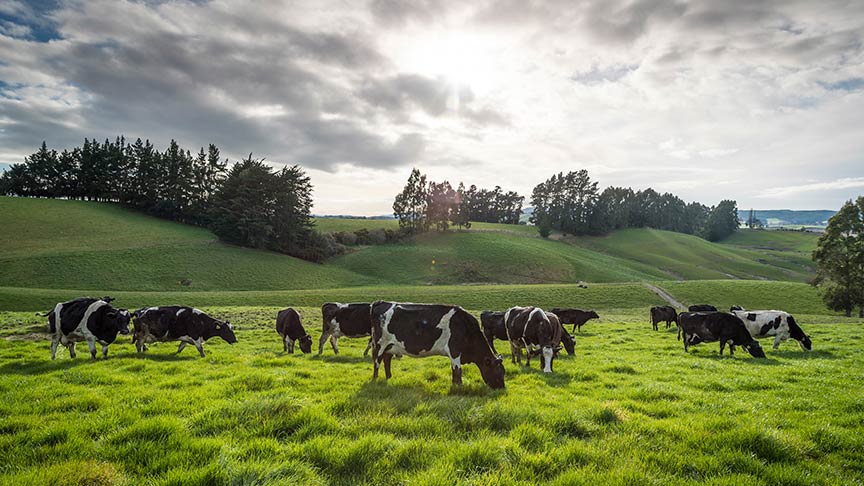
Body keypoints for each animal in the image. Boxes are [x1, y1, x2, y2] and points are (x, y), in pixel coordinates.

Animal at [368, 302, 502, 390]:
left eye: (503, 372)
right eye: (498, 372)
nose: (502, 388)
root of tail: (381, 302)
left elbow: (454, 370)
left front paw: (455, 385)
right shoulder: (454, 350)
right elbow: (457, 370)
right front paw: (459, 386)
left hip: (390, 347)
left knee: (387, 360)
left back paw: (389, 378)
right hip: (379, 344)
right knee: (377, 362)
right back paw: (375, 380)